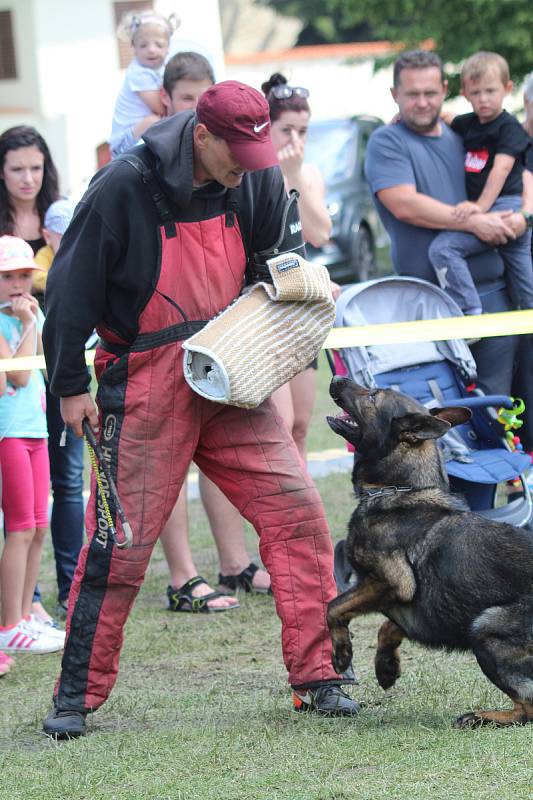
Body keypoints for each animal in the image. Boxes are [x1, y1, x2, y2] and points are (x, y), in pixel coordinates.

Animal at [326, 376, 532, 724]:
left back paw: (481, 716)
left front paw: (342, 654)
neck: (397, 490)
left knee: (526, 709)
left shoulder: (392, 583)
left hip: (485, 630)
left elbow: (334, 607)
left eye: (373, 395)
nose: (335, 379)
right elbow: (387, 627)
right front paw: (386, 666)